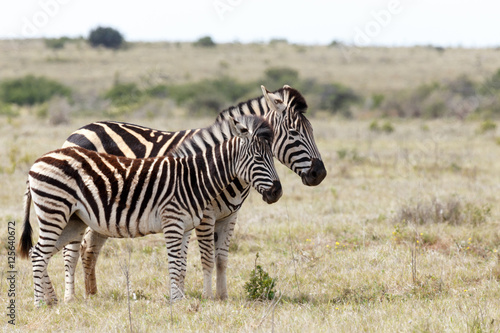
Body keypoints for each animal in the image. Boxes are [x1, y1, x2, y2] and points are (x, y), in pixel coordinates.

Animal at [17, 115, 282, 304]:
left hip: (72, 221)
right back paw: (40, 303)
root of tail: (36, 163)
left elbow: (182, 265)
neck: (195, 177)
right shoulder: (173, 221)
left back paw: (51, 301)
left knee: (39, 253)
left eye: (273, 156)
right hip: (54, 211)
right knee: (40, 253)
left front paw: (181, 298)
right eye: (259, 158)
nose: (277, 192)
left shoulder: (185, 226)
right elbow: (175, 263)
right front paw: (177, 301)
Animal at [60, 84, 326, 300]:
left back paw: (92, 294)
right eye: (294, 134)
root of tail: (78, 131)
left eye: (313, 131)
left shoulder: (230, 216)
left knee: (89, 248)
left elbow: (221, 258)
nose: (320, 174)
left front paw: (222, 296)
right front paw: (207, 297)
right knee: (72, 249)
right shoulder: (206, 215)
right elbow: (206, 257)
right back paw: (70, 296)